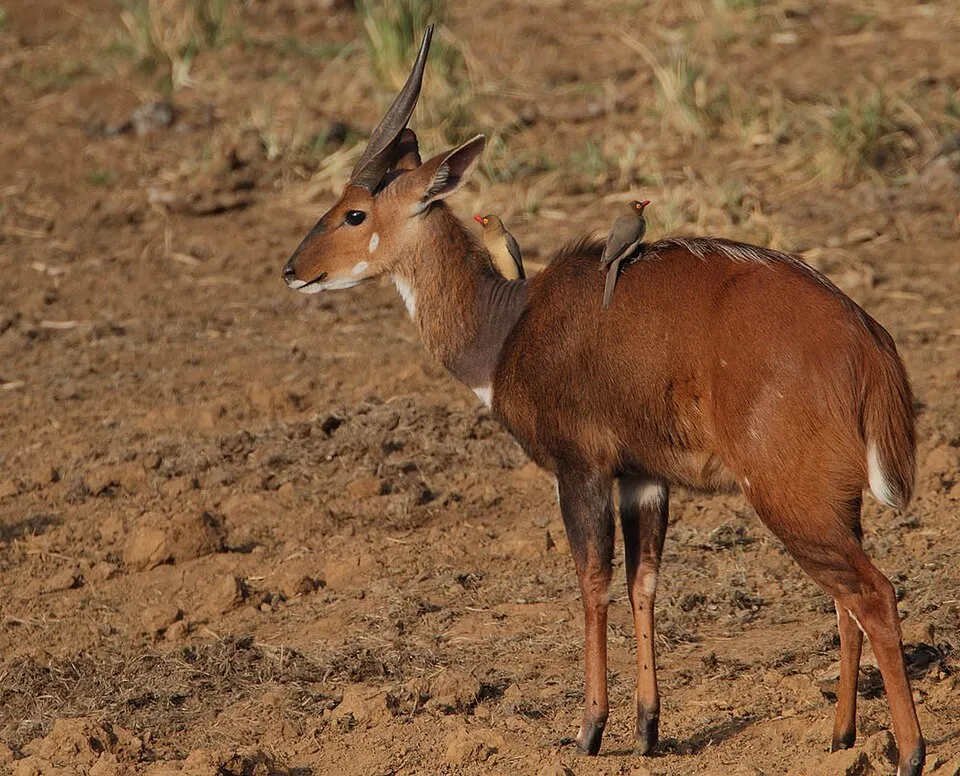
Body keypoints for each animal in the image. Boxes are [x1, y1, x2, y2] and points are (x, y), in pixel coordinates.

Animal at [282, 27, 925, 775]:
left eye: (353, 212)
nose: (292, 270)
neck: (507, 327)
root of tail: (869, 343)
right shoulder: (642, 478)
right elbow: (644, 582)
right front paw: (647, 729)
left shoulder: (580, 466)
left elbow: (591, 582)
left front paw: (589, 730)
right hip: (833, 503)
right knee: (845, 599)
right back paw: (840, 737)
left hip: (790, 496)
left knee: (874, 593)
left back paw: (911, 751)